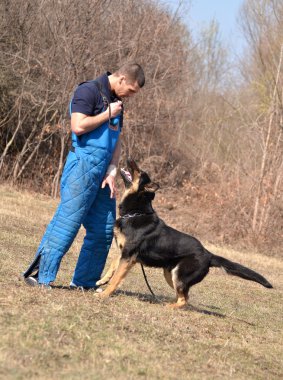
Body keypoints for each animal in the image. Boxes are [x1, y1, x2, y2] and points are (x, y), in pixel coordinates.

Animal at [97, 159, 272, 308]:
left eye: (140, 171)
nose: (130, 159)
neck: (136, 213)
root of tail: (208, 254)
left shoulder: (129, 257)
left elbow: (116, 279)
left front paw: (104, 294)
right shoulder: (124, 253)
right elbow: (113, 265)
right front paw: (102, 281)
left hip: (179, 276)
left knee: (184, 299)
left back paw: (168, 306)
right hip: (171, 275)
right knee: (182, 297)